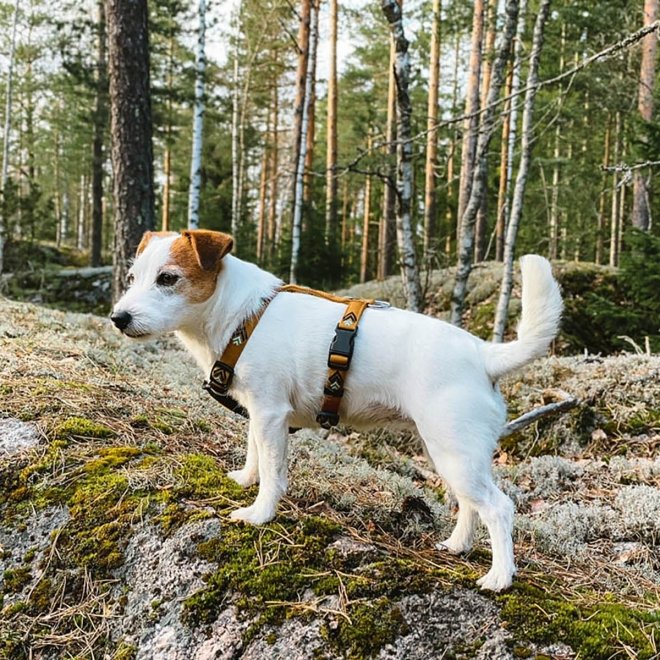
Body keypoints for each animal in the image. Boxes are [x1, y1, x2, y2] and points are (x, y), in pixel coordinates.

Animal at [109, 229, 564, 592]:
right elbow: (255, 453)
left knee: (498, 509)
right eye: (132, 278)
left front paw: (259, 513)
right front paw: (245, 478)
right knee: (471, 506)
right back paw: (457, 545)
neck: (241, 315)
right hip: (451, 454)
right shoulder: (259, 414)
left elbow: (272, 473)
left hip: (455, 453)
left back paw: (500, 577)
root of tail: (484, 354)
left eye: (168, 278)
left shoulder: (271, 413)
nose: (118, 317)